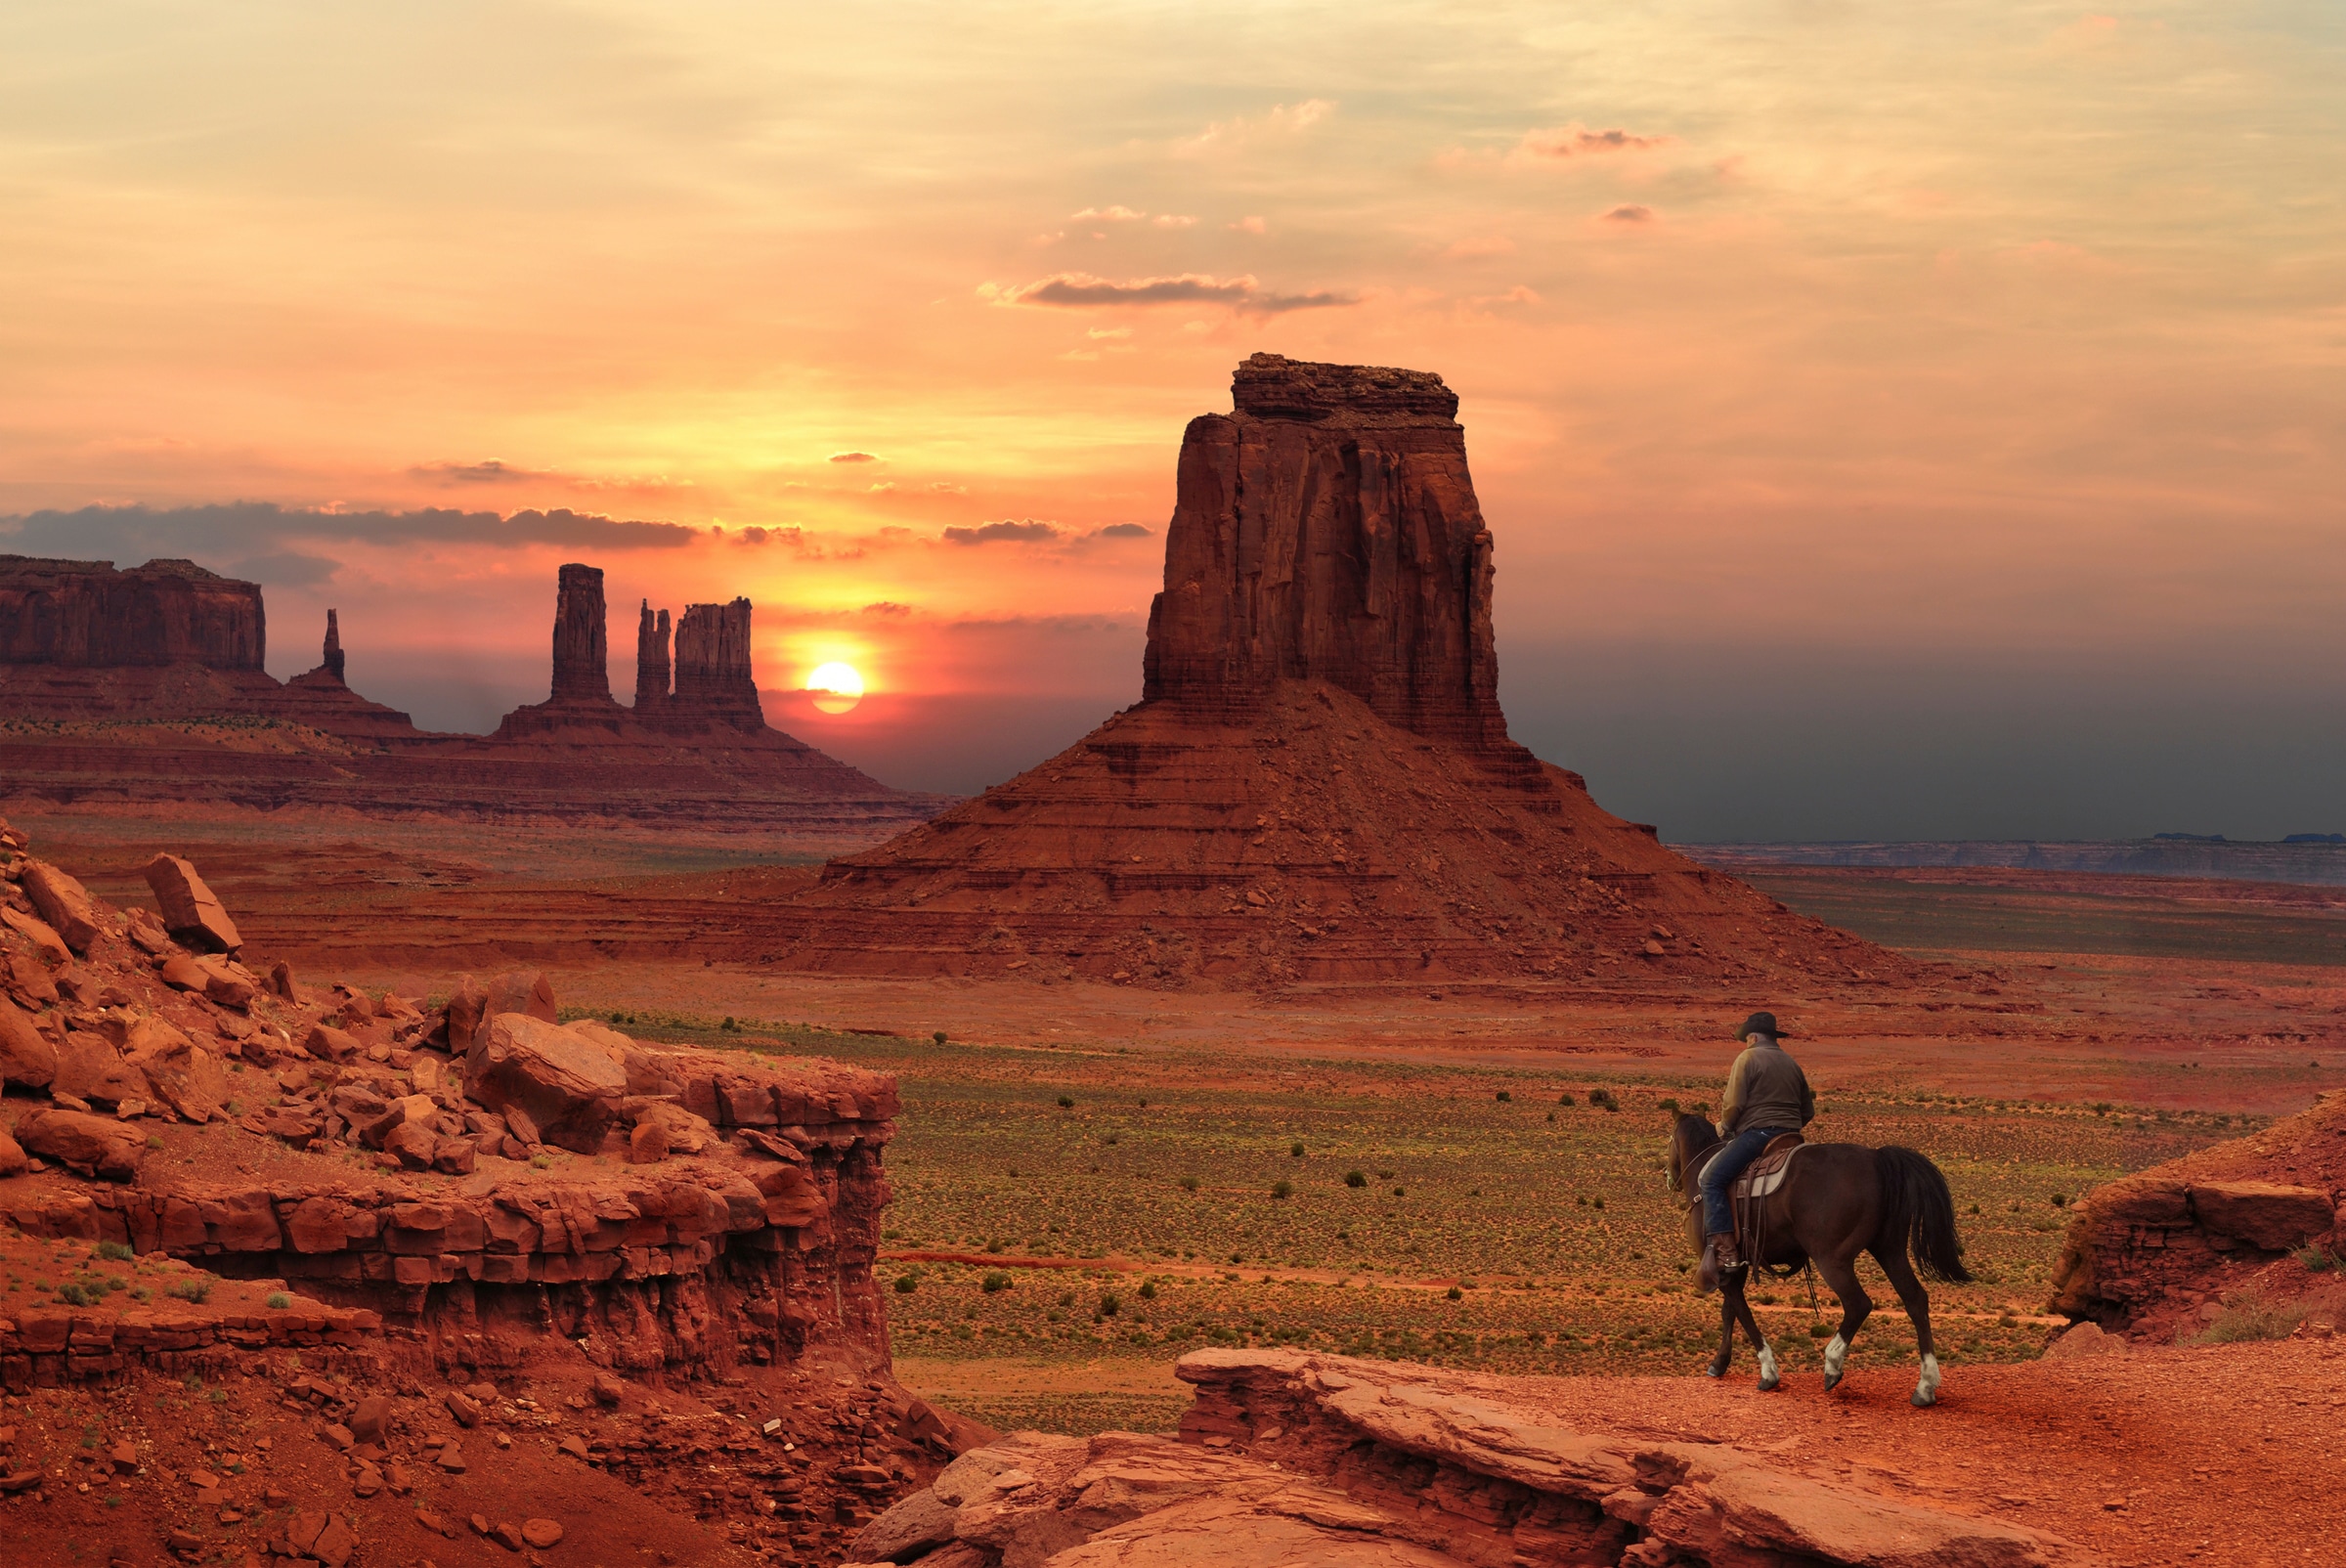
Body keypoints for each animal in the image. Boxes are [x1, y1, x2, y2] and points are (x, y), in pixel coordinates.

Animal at [1661, 1108, 1971, 1399]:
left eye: (1669, 1140)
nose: (1669, 1177)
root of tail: (1877, 1158)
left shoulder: (1722, 1269)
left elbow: (1743, 1313)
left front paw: (1768, 1372)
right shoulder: (1737, 1266)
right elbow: (1730, 1312)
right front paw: (1720, 1363)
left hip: (1832, 1259)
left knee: (1859, 1304)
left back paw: (1833, 1365)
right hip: (1889, 1250)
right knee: (1915, 1299)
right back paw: (1925, 1386)